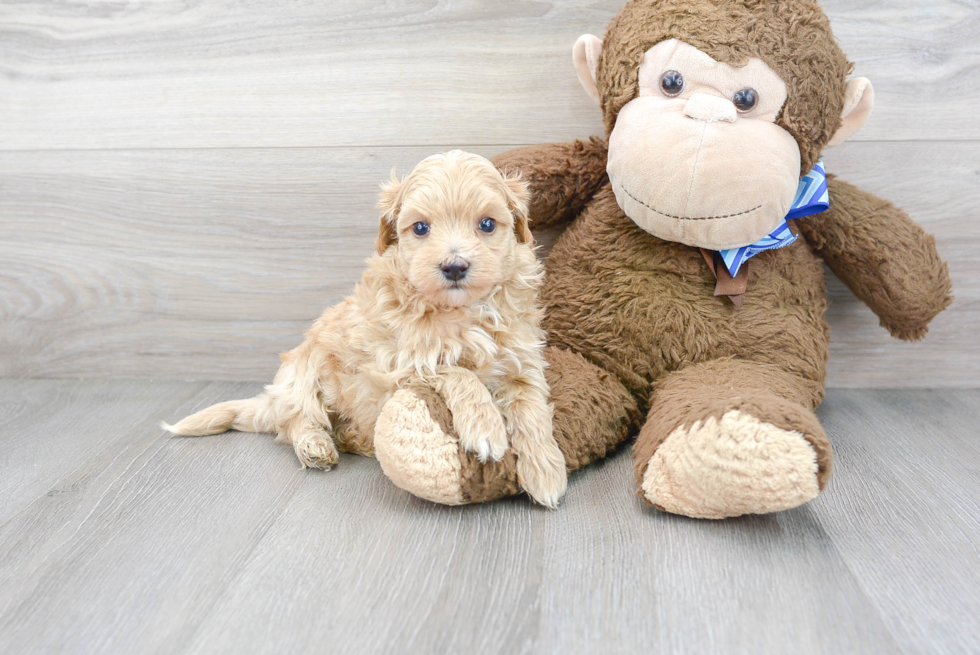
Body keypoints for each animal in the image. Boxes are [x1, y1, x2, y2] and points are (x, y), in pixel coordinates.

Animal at [163, 152, 568, 508]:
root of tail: (274, 398)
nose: (454, 266)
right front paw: (485, 428)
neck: (460, 311)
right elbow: (456, 372)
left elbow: (531, 410)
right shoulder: (398, 364)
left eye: (487, 224)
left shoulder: (521, 361)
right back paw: (316, 446)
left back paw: (353, 438)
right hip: (302, 374)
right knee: (296, 420)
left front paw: (546, 474)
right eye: (421, 227)